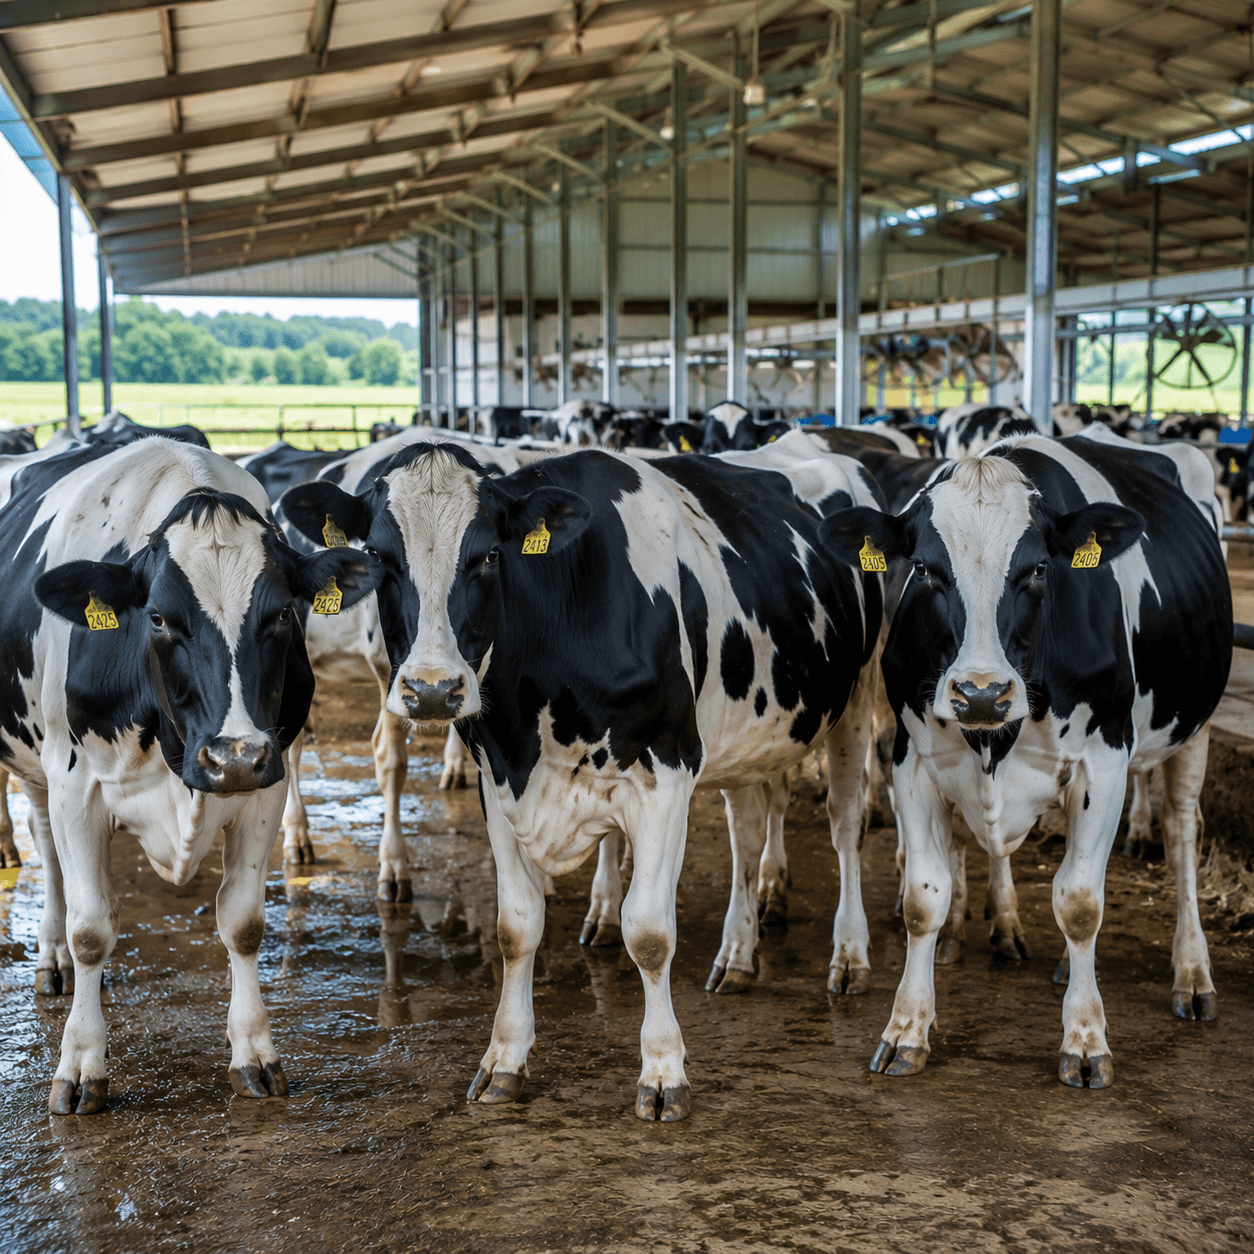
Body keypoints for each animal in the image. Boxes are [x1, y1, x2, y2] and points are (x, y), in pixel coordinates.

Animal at [0, 438, 378, 1113]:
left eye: (283, 615)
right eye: (157, 618)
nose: (232, 756)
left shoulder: (267, 784)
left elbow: (244, 924)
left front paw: (254, 1052)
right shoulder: (76, 788)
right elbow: (91, 930)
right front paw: (80, 1065)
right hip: (37, 766)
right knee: (47, 849)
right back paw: (52, 958)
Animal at [281, 435, 884, 1120]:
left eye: (490, 555)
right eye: (380, 558)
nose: (433, 689)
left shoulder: (667, 771)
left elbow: (649, 931)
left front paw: (663, 1073)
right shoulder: (497, 779)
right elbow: (516, 926)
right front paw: (505, 1060)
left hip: (857, 695)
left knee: (844, 825)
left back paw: (850, 956)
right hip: (750, 731)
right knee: (747, 833)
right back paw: (738, 953)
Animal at [820, 431, 1231, 1088]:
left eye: (1038, 569)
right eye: (925, 570)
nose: (982, 693)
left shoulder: (1104, 762)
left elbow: (1081, 903)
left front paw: (1086, 1040)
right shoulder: (913, 760)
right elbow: (923, 901)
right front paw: (906, 1028)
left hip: (1194, 725)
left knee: (1181, 835)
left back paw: (1192, 973)